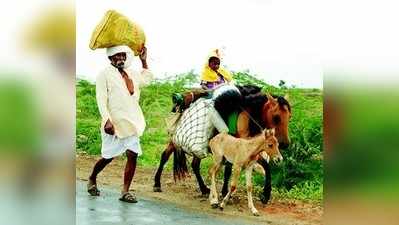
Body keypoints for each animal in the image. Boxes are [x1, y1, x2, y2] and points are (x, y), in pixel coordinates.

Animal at [153, 85, 290, 204]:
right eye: (277, 117)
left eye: (289, 116)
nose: (285, 144)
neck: (246, 119)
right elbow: (264, 166)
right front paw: (265, 195)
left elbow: (229, 169)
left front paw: (225, 192)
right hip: (175, 140)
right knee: (165, 155)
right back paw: (157, 184)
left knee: (195, 165)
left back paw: (204, 189)